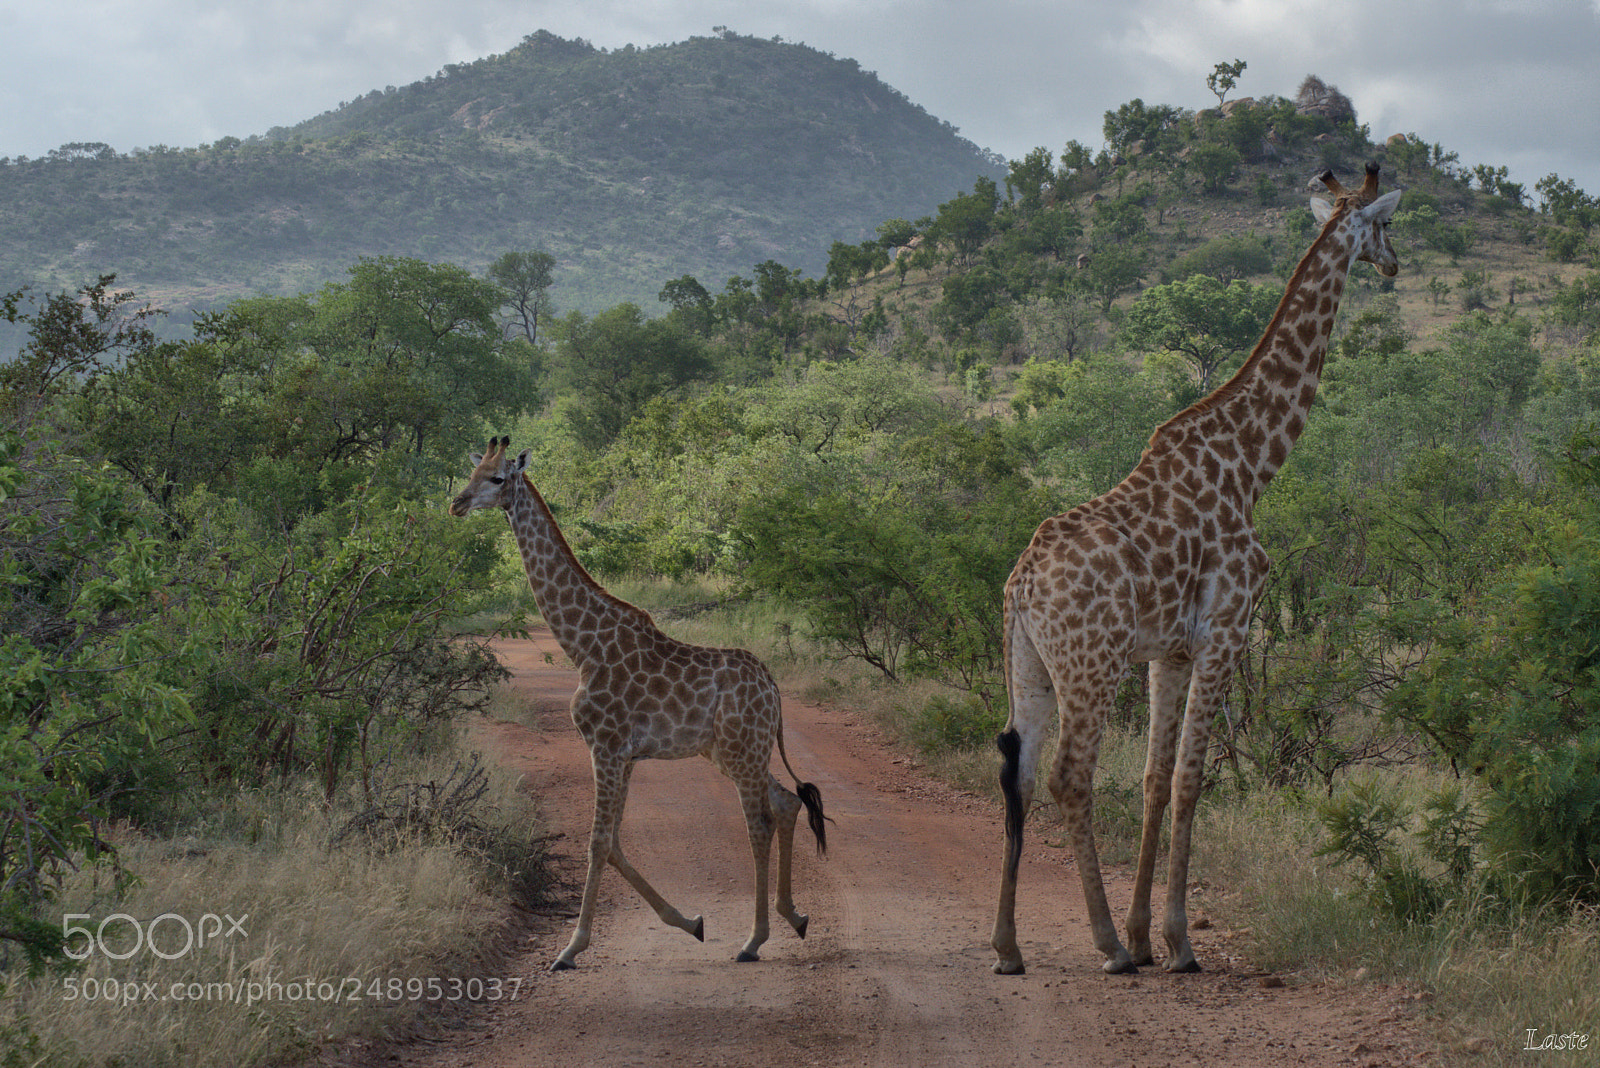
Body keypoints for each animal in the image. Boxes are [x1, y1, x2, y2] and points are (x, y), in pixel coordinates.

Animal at [449, 437, 828, 971]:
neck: (582, 646)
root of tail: (773, 688)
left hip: (741, 750)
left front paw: (570, 948)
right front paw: (691, 922)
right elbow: (613, 843)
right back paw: (794, 918)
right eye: (472, 471)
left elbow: (596, 843)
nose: (457, 504)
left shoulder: (604, 747)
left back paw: (753, 940)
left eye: (497, 478)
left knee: (760, 821)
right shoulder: (625, 755)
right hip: (731, 751)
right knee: (788, 802)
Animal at [991, 163, 1402, 976]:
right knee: (1068, 777)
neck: (1252, 464)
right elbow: (1190, 778)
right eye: (1386, 225)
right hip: (1092, 664)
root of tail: (1021, 588)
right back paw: (1105, 945)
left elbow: (1154, 779)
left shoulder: (1170, 651)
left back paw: (1009, 946)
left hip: (1031, 665)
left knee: (1018, 775)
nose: (1398, 266)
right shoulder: (1226, 631)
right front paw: (1174, 943)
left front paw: (1149, 932)